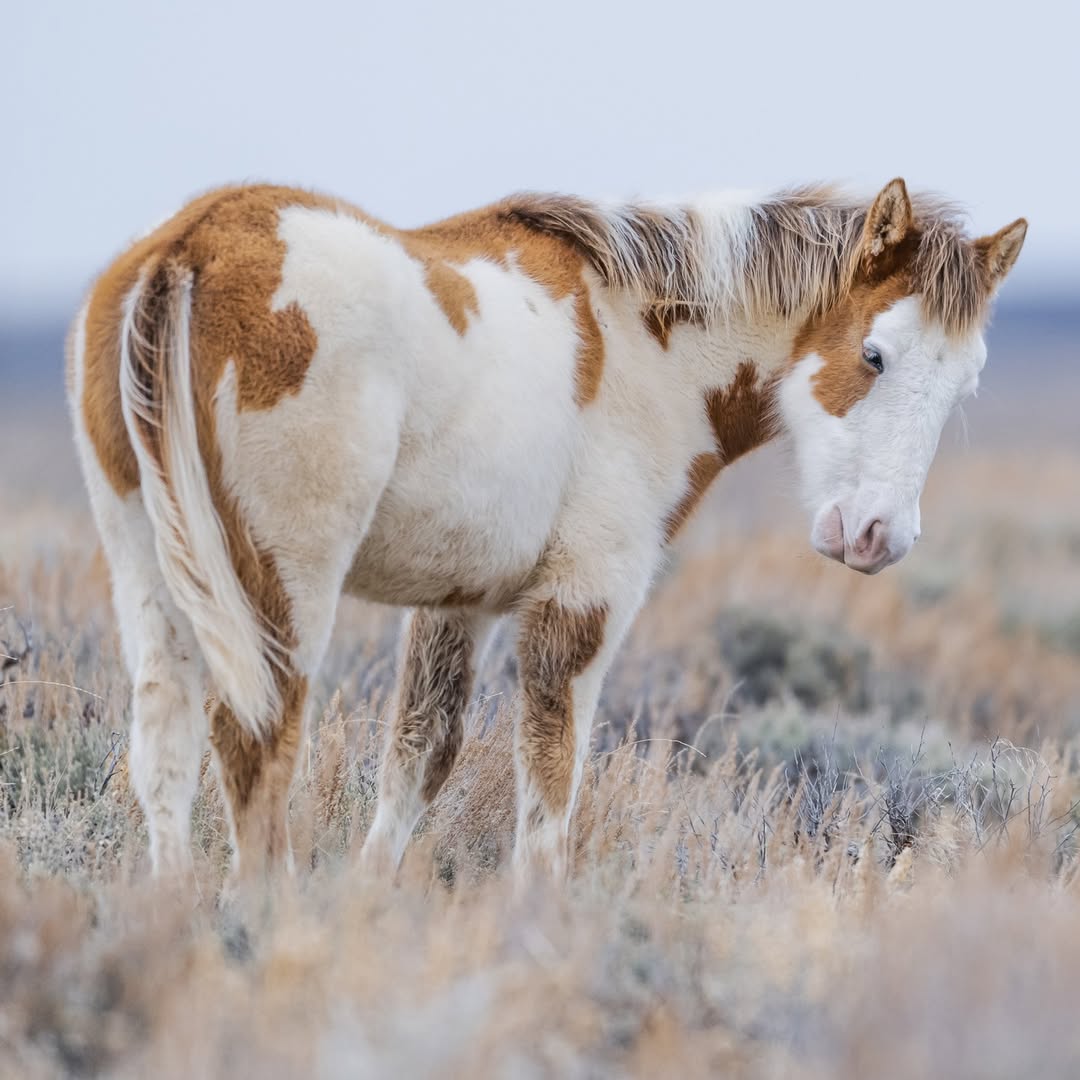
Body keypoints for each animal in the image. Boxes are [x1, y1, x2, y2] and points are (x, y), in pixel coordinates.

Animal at [67, 179, 1028, 894]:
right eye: (873, 354)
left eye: (970, 380)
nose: (875, 536)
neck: (641, 338)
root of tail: (185, 248)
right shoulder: (581, 603)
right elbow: (551, 784)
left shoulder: (457, 605)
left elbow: (419, 757)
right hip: (280, 585)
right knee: (257, 750)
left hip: (157, 575)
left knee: (163, 748)